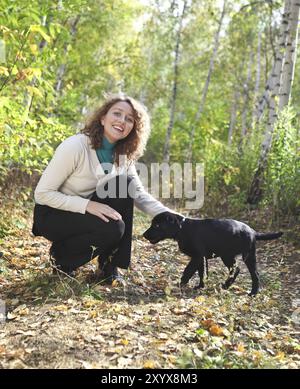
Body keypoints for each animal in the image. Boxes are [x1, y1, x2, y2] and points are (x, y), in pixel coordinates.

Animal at [144, 212, 282, 294]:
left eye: (157, 225)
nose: (144, 235)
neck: (182, 229)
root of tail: (253, 232)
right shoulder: (201, 258)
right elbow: (202, 273)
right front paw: (200, 286)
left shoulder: (197, 257)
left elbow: (187, 271)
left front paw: (180, 285)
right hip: (229, 255)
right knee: (236, 269)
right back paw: (226, 286)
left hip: (244, 256)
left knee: (253, 274)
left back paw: (252, 293)